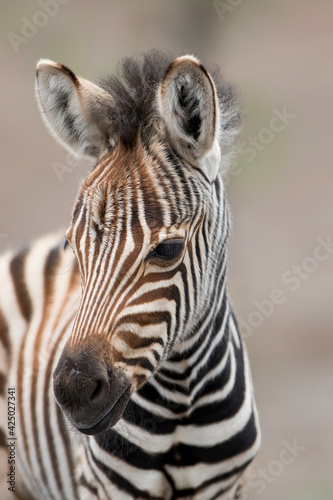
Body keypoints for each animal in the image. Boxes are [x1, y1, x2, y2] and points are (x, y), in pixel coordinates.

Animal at [0, 50, 260, 500]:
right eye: (72, 247)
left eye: (168, 250)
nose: (74, 392)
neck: (181, 400)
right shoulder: (105, 487)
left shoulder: (227, 486)